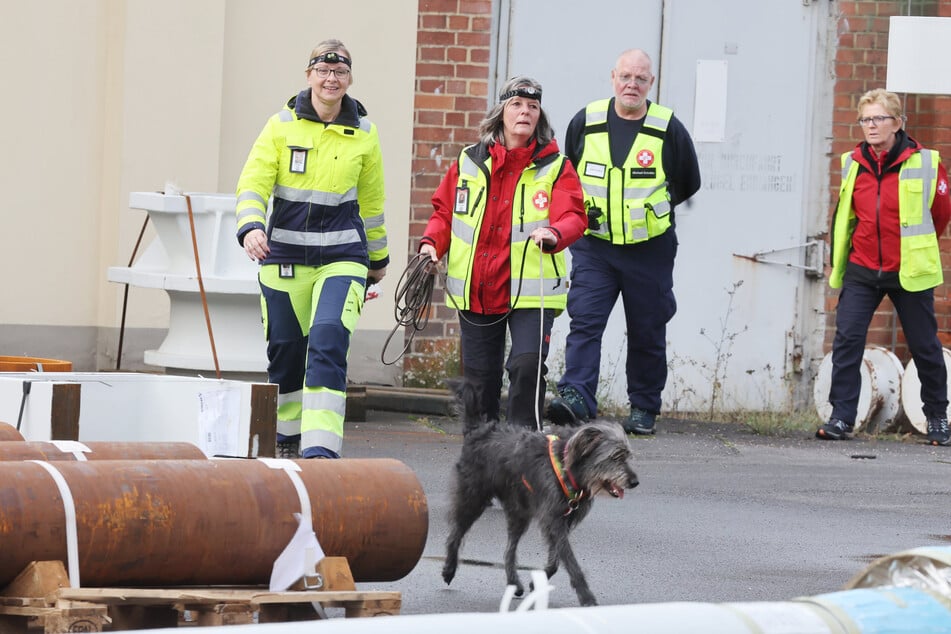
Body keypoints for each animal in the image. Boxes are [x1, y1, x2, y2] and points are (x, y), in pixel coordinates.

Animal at [444, 380, 640, 604]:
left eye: (627, 455)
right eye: (616, 456)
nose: (635, 482)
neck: (569, 467)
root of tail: (478, 430)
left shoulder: (563, 520)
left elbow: (555, 560)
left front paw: (537, 581)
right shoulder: (552, 519)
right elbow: (570, 561)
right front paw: (586, 596)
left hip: (519, 512)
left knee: (508, 550)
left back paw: (514, 582)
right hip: (473, 498)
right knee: (455, 534)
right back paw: (449, 569)